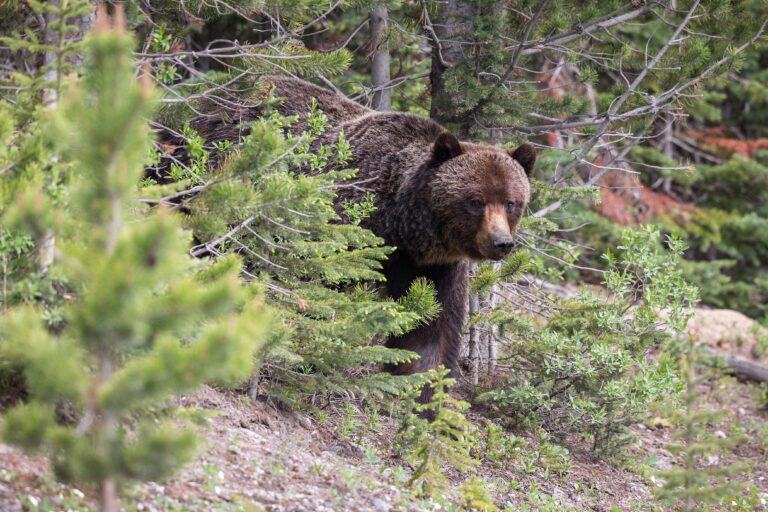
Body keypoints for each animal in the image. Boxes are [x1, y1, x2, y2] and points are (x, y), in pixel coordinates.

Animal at [181, 76, 535, 396]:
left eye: (511, 202)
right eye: (475, 201)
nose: (502, 243)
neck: (403, 225)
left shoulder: (435, 267)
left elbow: (433, 327)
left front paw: (422, 388)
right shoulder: (347, 227)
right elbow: (320, 288)